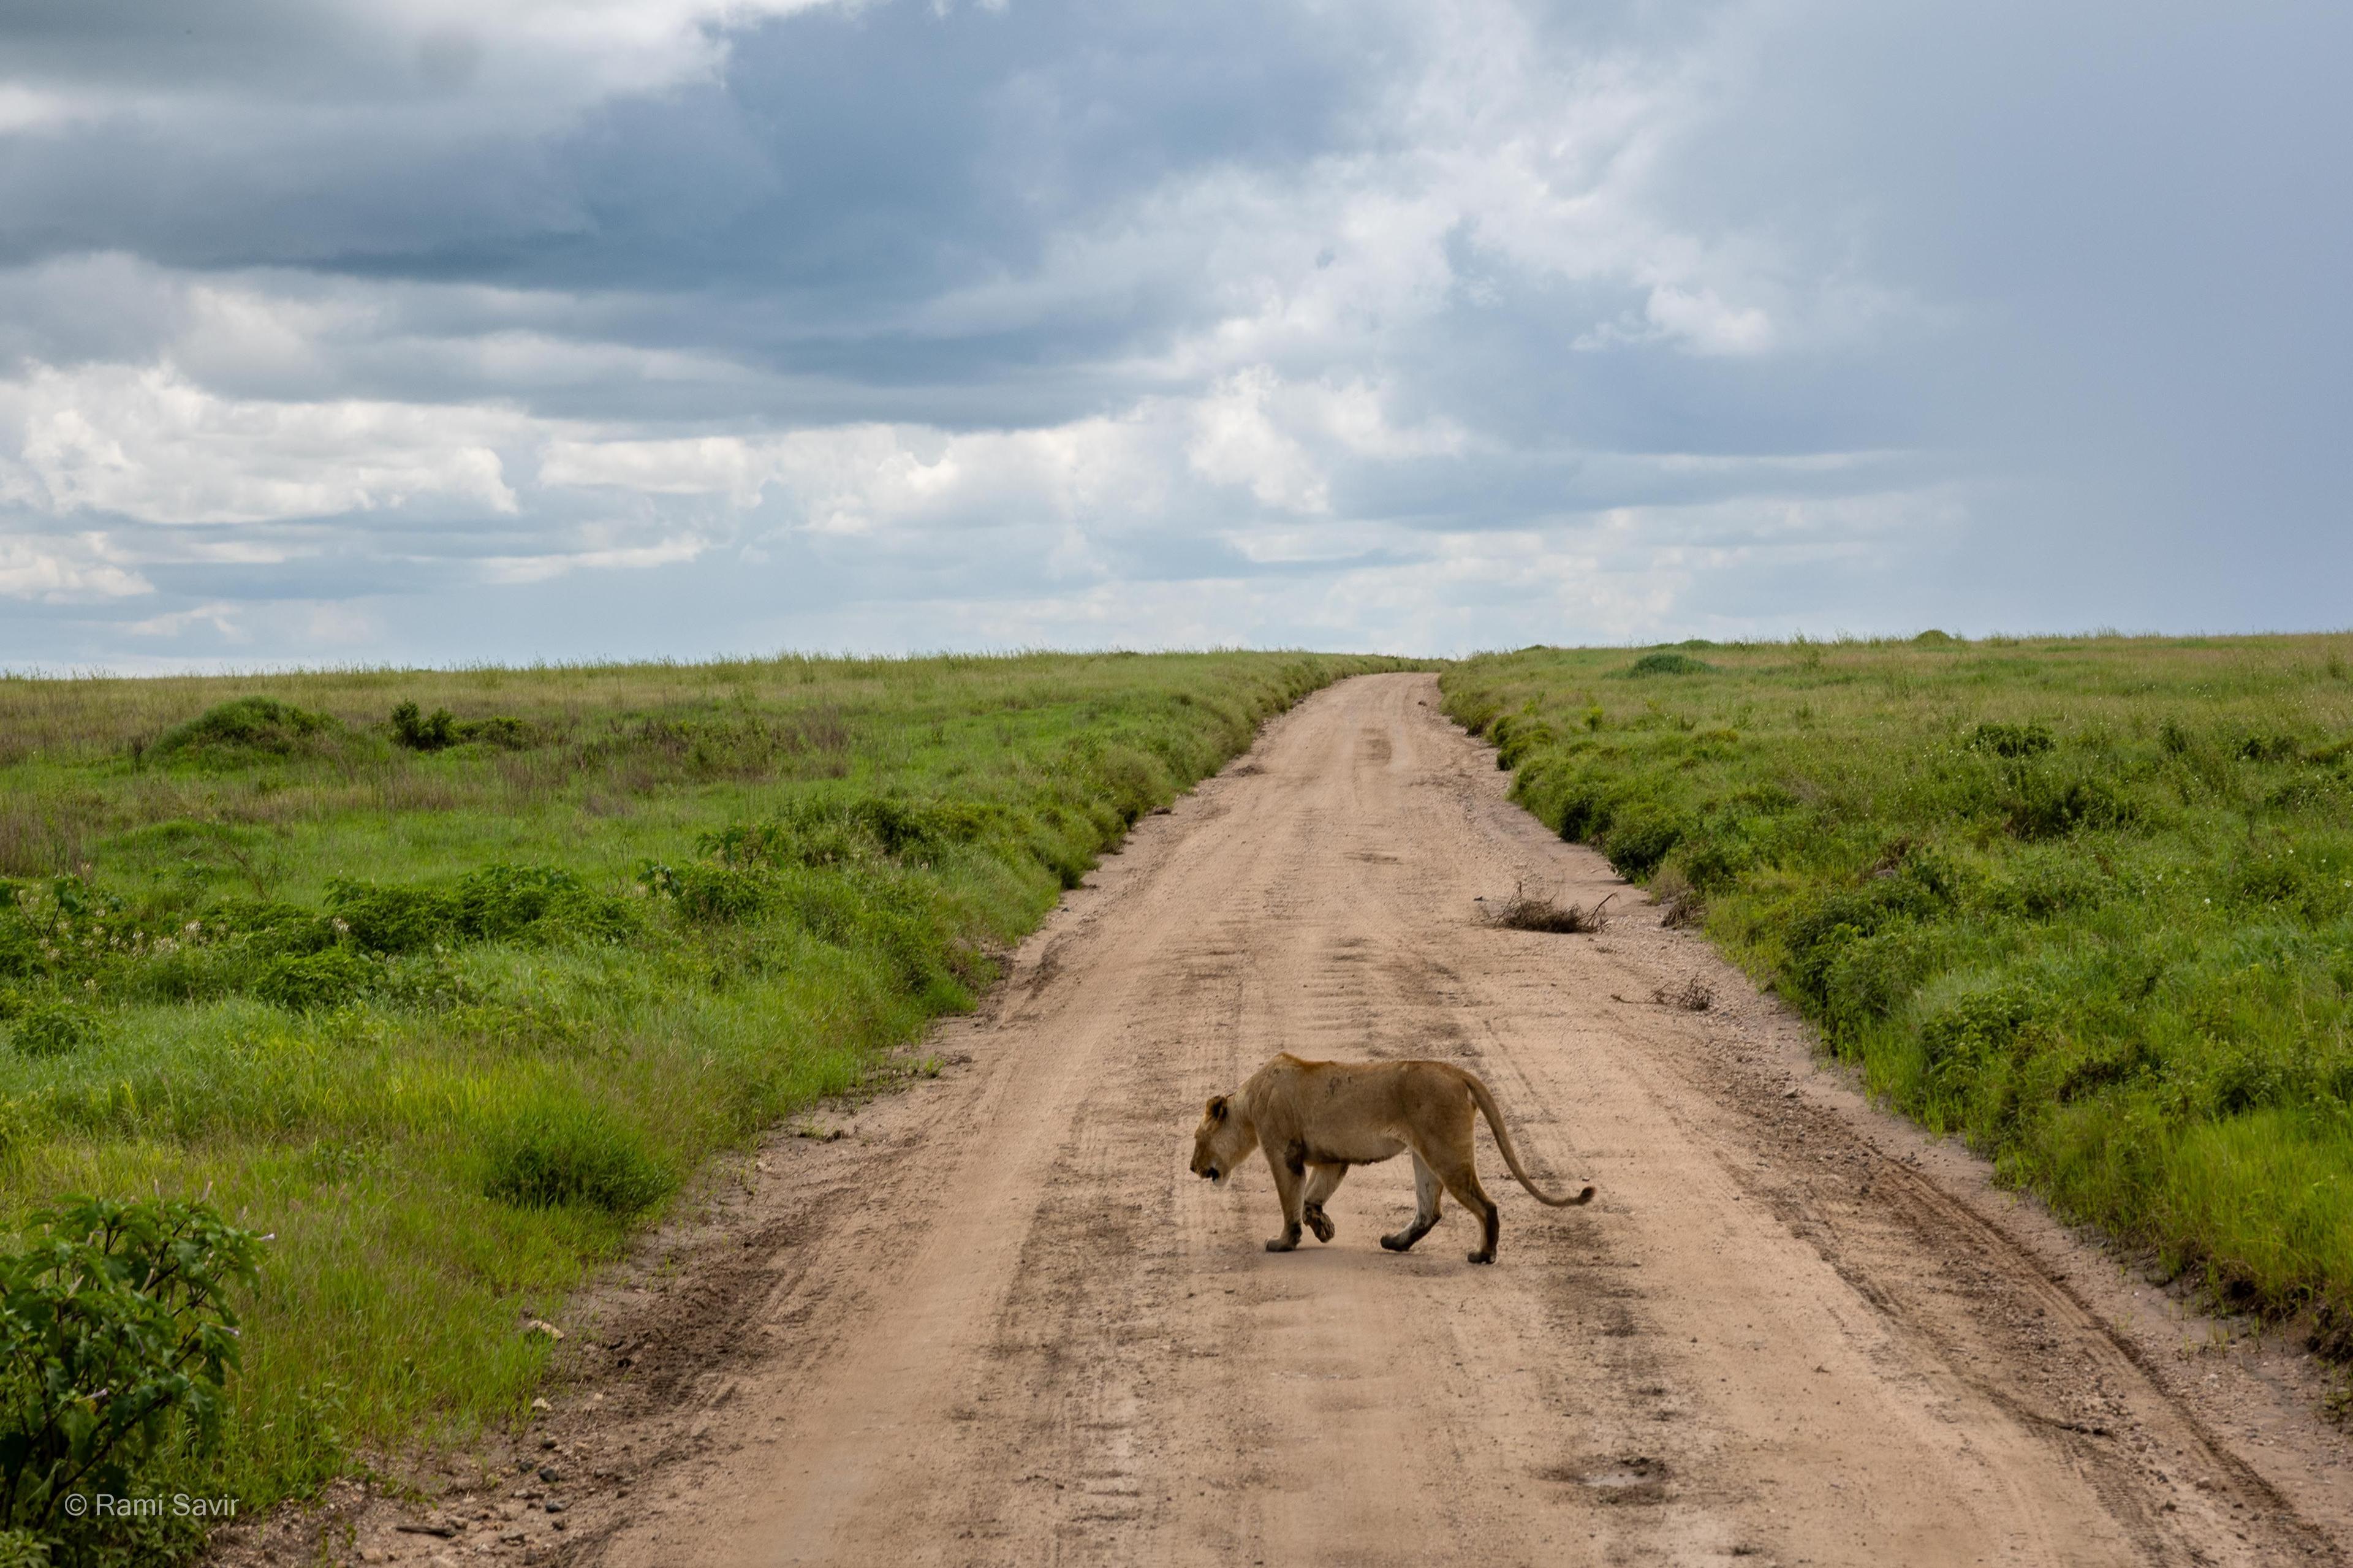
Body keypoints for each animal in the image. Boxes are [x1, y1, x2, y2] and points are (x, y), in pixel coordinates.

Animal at [1189, 1053, 1594, 1264]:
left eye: (1196, 1139)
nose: (1192, 1167)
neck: (1250, 1102)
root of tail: (1458, 1071)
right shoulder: (1333, 1159)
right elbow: (1311, 1199)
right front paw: (1324, 1228)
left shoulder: (1283, 1153)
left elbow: (1291, 1201)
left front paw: (1285, 1242)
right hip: (1424, 1157)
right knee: (1430, 1211)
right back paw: (1395, 1243)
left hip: (1446, 1153)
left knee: (1487, 1206)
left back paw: (1483, 1255)